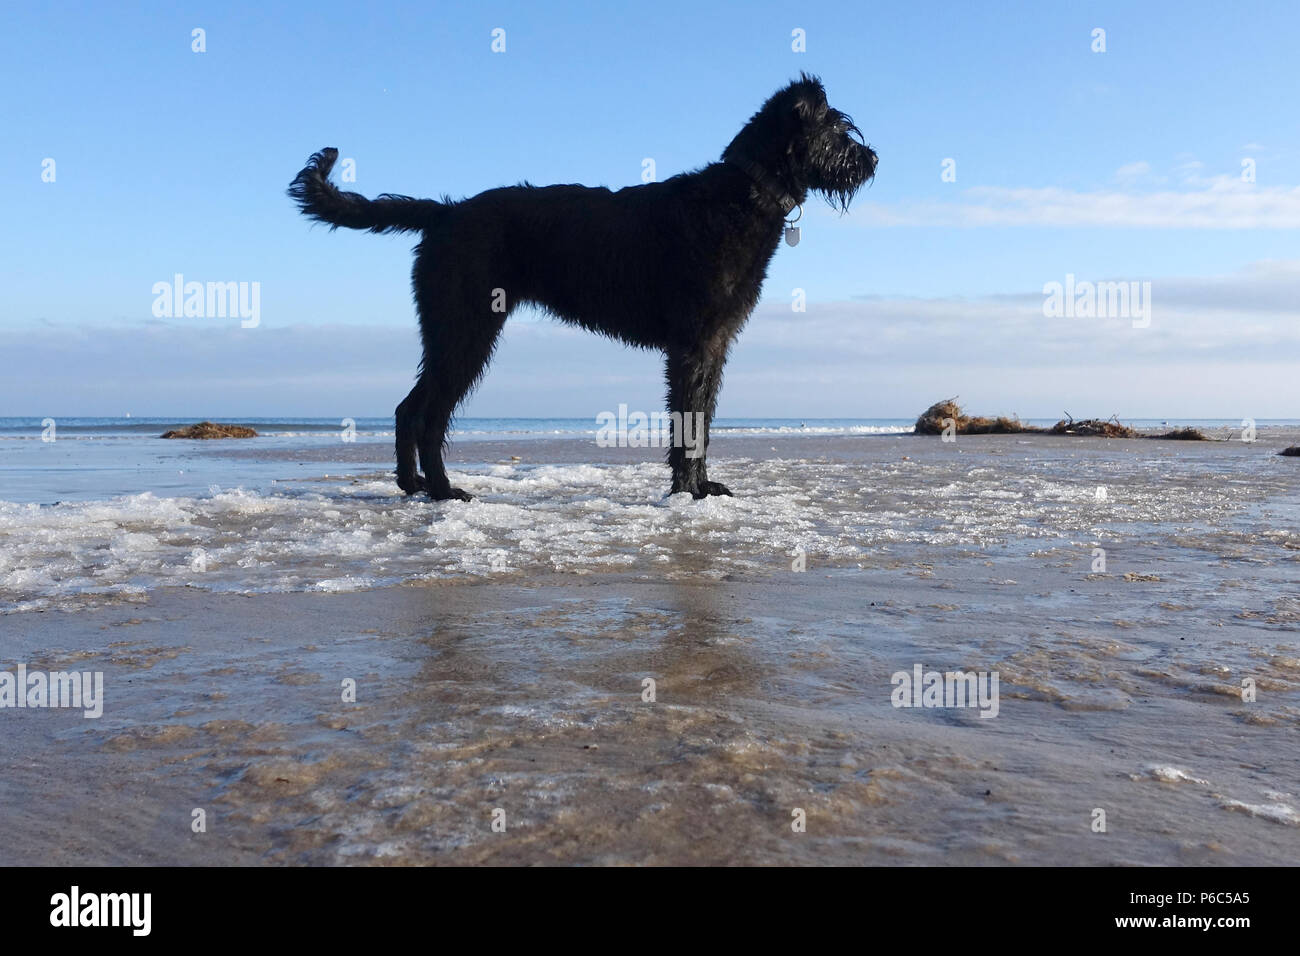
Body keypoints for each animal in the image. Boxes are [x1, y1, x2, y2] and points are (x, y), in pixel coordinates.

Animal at [284, 74, 873, 502]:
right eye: (838, 127)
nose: (872, 159)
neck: (740, 195)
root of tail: (447, 213)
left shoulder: (715, 345)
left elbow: (701, 419)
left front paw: (702, 486)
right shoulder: (694, 345)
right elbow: (687, 421)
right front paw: (688, 492)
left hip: (452, 332)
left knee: (409, 407)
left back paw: (413, 486)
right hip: (465, 329)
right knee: (428, 414)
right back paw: (444, 490)